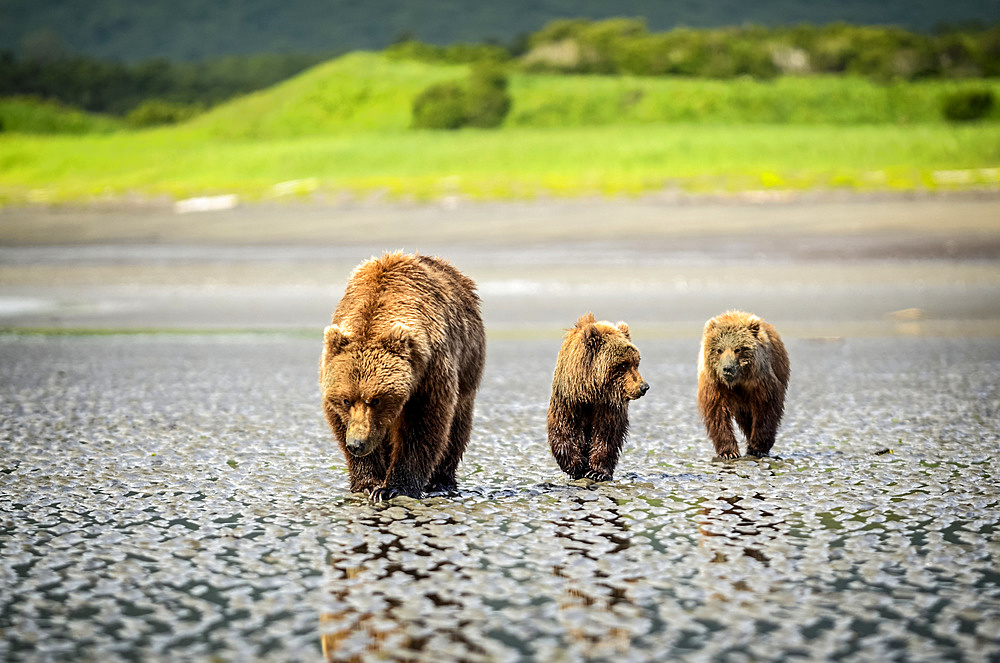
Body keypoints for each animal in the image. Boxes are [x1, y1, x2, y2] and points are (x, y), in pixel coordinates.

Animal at [318, 252, 486, 500]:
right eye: (346, 400)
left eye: (376, 399)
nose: (357, 444)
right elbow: (340, 422)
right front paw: (368, 483)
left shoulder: (429, 370)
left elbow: (422, 425)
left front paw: (394, 487)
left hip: (468, 369)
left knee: (457, 426)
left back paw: (442, 482)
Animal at [548, 314, 648, 480]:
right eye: (623, 365)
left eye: (636, 363)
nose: (644, 387)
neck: (592, 392)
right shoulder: (570, 398)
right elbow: (563, 427)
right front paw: (577, 465)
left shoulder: (609, 405)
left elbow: (607, 434)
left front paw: (597, 472)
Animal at [696, 312, 788, 460]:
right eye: (719, 350)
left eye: (737, 349)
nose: (727, 368)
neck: (737, 381)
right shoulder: (715, 384)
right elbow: (717, 413)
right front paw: (729, 452)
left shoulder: (760, 381)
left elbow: (766, 408)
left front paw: (758, 447)